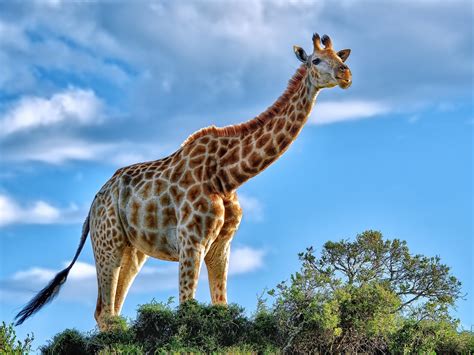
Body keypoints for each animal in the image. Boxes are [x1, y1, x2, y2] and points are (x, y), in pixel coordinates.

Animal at [15, 33, 352, 330]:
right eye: (316, 60)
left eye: (341, 57)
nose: (346, 74)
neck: (227, 175)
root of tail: (93, 203)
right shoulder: (192, 241)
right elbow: (187, 310)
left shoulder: (221, 246)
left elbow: (221, 307)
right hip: (106, 242)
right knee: (105, 312)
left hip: (132, 251)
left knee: (111, 313)